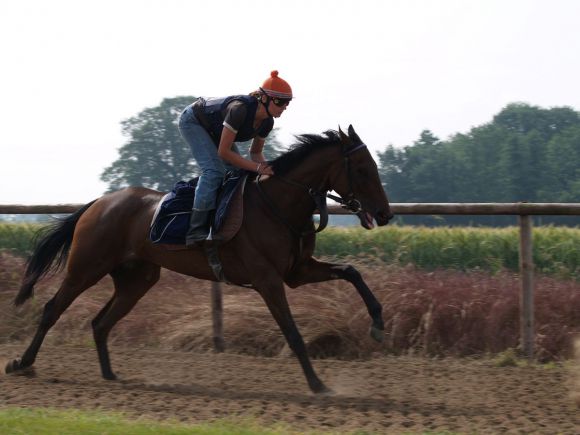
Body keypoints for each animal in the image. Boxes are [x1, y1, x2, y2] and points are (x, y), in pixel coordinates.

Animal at [5, 125, 394, 396]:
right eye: (362, 169)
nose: (385, 213)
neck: (278, 204)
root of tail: (98, 203)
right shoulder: (268, 280)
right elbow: (293, 333)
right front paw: (318, 385)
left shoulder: (296, 272)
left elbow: (352, 271)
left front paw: (377, 324)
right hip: (86, 266)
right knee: (52, 309)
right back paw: (22, 363)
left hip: (137, 279)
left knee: (101, 323)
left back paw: (110, 375)